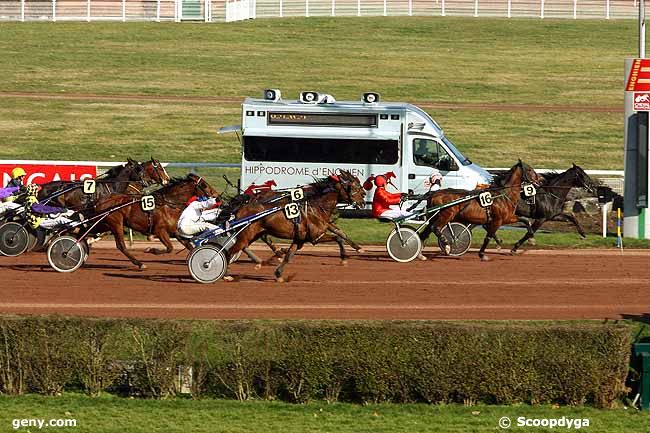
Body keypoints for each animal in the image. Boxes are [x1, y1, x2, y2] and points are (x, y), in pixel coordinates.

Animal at [227, 170, 364, 282]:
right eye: (356, 185)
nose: (363, 198)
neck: (316, 207)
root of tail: (243, 206)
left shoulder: (300, 239)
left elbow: (289, 255)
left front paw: (279, 274)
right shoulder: (316, 237)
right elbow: (338, 237)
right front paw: (344, 259)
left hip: (255, 233)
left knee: (244, 246)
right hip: (247, 233)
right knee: (231, 250)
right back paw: (227, 273)